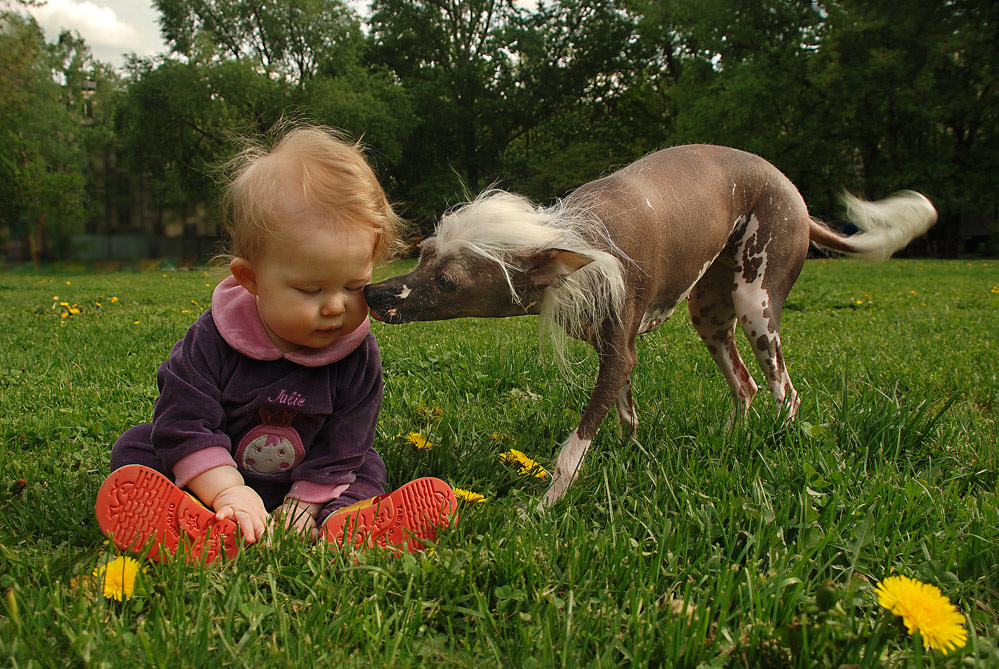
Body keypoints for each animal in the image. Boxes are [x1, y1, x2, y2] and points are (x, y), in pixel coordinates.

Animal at [366, 144, 936, 504]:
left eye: (448, 283)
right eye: (423, 252)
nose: (372, 294)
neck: (584, 240)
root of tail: (793, 191)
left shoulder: (620, 353)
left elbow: (572, 448)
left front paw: (544, 507)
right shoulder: (612, 356)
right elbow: (627, 418)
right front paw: (626, 456)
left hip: (757, 302)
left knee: (784, 391)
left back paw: (775, 444)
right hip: (710, 315)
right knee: (745, 386)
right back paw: (733, 441)